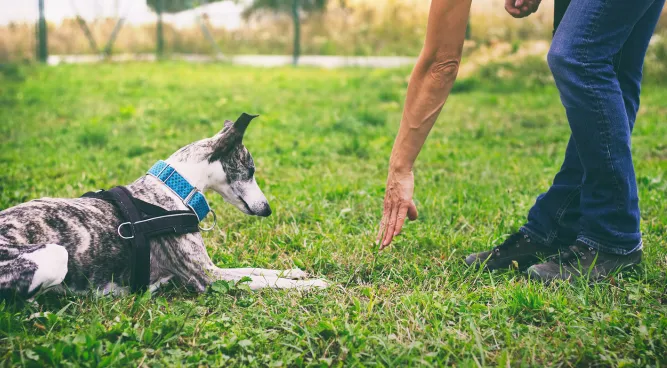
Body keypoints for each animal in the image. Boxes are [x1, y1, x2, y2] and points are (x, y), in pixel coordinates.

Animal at [0, 113, 328, 300]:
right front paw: (313, 285)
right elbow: (262, 280)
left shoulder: (212, 268)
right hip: (55, 255)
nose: (267, 209)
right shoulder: (206, 277)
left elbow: (256, 270)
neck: (174, 188)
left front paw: (294, 272)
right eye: (251, 170)